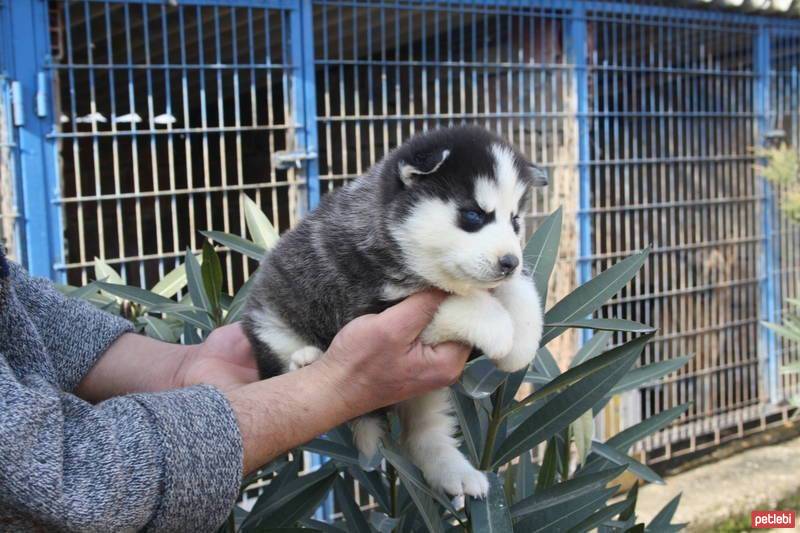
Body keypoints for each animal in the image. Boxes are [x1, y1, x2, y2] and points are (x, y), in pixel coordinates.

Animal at [241, 125, 548, 498]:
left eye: (515, 221)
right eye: (474, 215)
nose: (509, 262)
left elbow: (519, 291)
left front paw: (523, 339)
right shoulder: (369, 306)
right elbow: (457, 302)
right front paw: (501, 330)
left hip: (421, 392)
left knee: (423, 434)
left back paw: (456, 473)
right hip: (270, 319)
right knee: (279, 363)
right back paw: (307, 361)